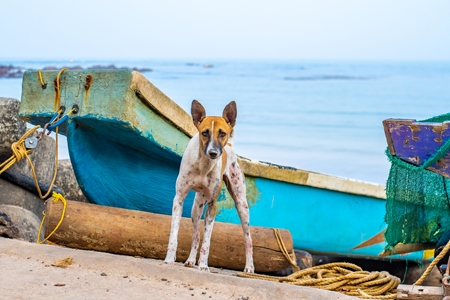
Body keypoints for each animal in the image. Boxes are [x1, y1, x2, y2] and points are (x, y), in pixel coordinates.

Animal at [163, 99, 253, 274]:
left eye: (222, 133)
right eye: (205, 133)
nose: (213, 153)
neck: (203, 165)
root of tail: (229, 146)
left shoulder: (213, 204)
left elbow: (207, 241)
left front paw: (204, 265)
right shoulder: (179, 199)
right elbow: (174, 234)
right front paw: (169, 259)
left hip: (241, 204)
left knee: (248, 238)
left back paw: (249, 267)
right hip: (196, 208)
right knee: (196, 235)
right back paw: (191, 261)